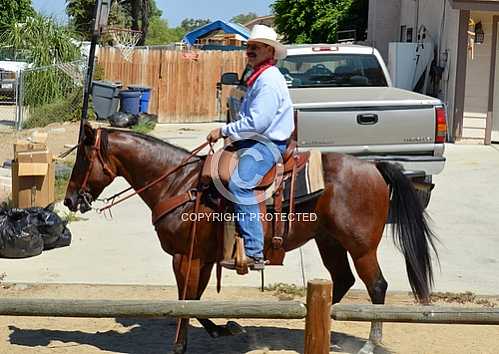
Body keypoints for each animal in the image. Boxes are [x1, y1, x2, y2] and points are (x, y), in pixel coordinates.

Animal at [64, 123, 440, 352]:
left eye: (82, 158)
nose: (69, 201)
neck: (179, 184)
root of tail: (374, 166)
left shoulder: (185, 256)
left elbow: (186, 300)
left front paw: (182, 344)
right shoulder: (202, 258)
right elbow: (196, 299)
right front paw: (223, 328)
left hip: (360, 246)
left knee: (376, 286)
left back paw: (368, 343)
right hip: (328, 241)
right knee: (342, 281)